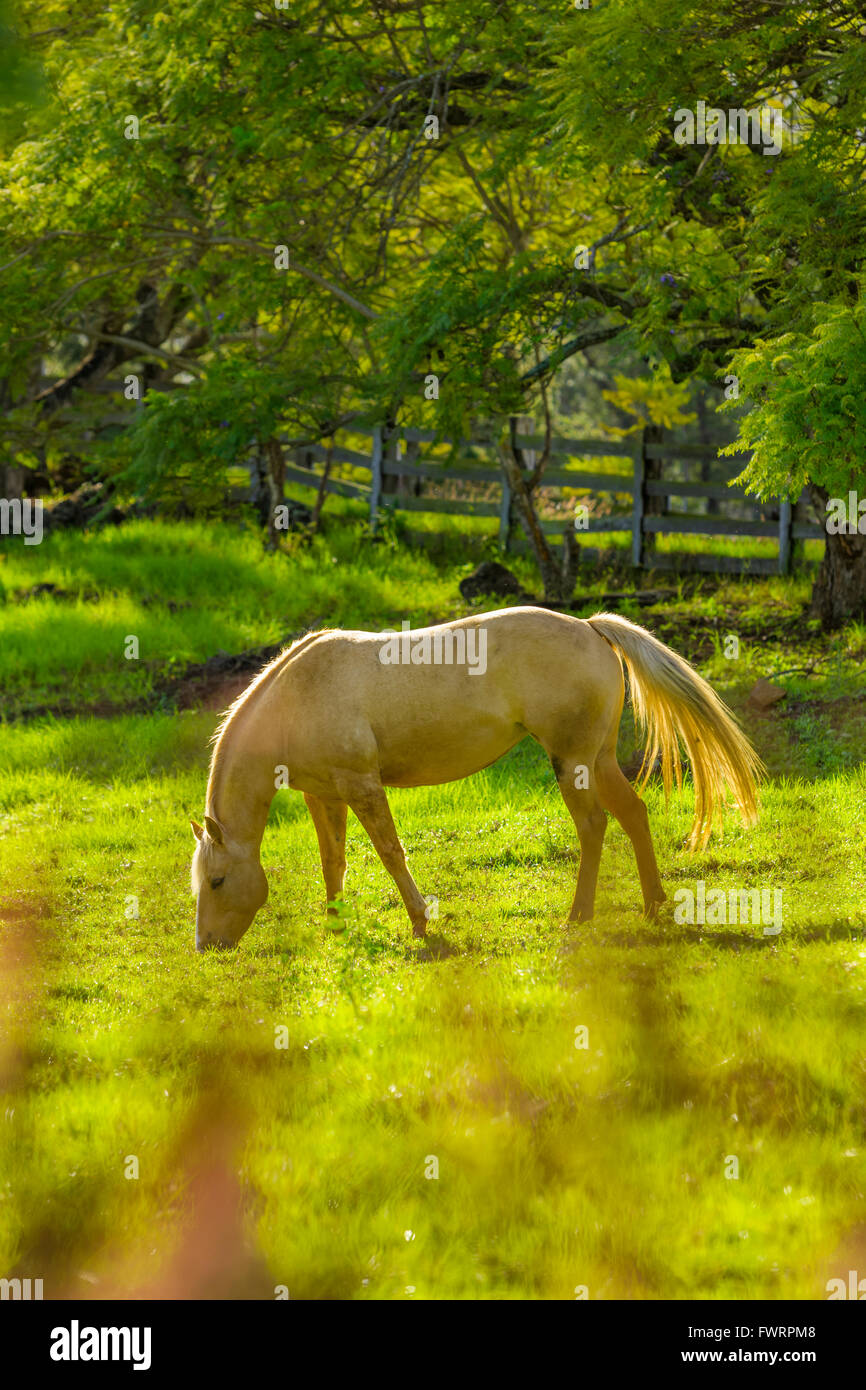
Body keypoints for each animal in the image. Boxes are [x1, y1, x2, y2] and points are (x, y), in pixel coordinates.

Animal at [189, 611, 756, 950]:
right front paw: (336, 927)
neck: (300, 693)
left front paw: (420, 922)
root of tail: (590, 627)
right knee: (634, 814)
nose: (206, 945)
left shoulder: (362, 786)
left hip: (572, 762)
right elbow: (334, 862)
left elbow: (390, 853)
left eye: (217, 881)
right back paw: (653, 906)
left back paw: (579, 916)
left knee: (594, 826)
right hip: (598, 759)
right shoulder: (324, 795)